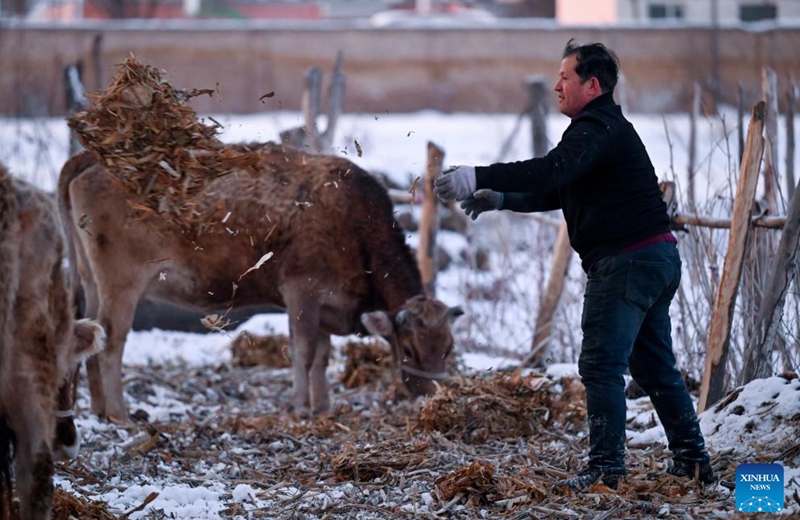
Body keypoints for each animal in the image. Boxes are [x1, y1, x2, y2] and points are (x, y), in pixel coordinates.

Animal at [58, 145, 462, 423]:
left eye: (448, 349)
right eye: (407, 349)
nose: (433, 395)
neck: (351, 221)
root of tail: (91, 156)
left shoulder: (326, 306)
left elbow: (322, 356)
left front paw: (323, 406)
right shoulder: (301, 292)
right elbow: (303, 351)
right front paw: (301, 406)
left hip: (92, 281)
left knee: (93, 335)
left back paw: (99, 410)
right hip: (121, 284)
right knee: (112, 341)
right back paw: (120, 414)